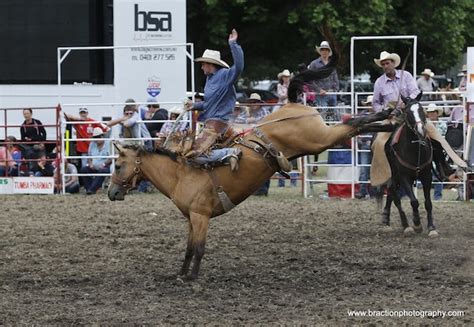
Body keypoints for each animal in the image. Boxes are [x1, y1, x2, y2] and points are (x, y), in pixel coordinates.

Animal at [107, 57, 374, 280]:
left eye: (118, 165)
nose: (111, 193)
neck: (179, 175)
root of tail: (292, 105)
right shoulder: (191, 218)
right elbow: (189, 248)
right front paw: (180, 274)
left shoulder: (201, 216)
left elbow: (199, 248)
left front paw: (192, 277)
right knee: (354, 126)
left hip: (318, 138)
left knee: (353, 123)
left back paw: (383, 114)